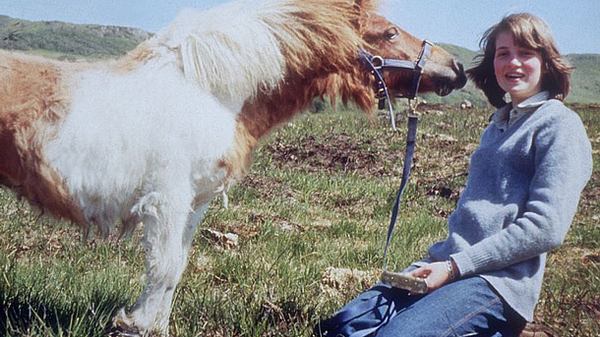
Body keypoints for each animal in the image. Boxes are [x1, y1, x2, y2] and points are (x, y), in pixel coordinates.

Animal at [0, 0, 466, 334]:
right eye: (389, 33)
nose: (458, 68)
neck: (206, 93)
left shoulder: (195, 202)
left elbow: (177, 266)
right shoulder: (166, 200)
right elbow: (163, 267)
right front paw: (137, 325)